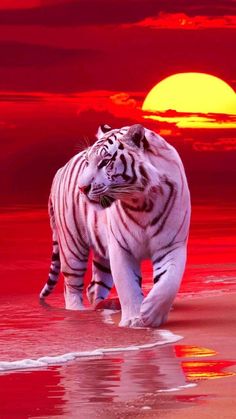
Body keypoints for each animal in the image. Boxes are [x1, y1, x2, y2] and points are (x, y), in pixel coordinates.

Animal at [39, 124, 191, 328]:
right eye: (88, 162)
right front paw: (133, 319)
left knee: (94, 286)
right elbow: (128, 285)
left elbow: (169, 281)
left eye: (105, 162)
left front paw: (151, 313)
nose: (82, 188)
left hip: (101, 256)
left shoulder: (171, 244)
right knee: (71, 286)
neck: (143, 203)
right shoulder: (120, 247)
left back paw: (103, 307)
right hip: (72, 246)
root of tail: (60, 170)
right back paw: (77, 313)